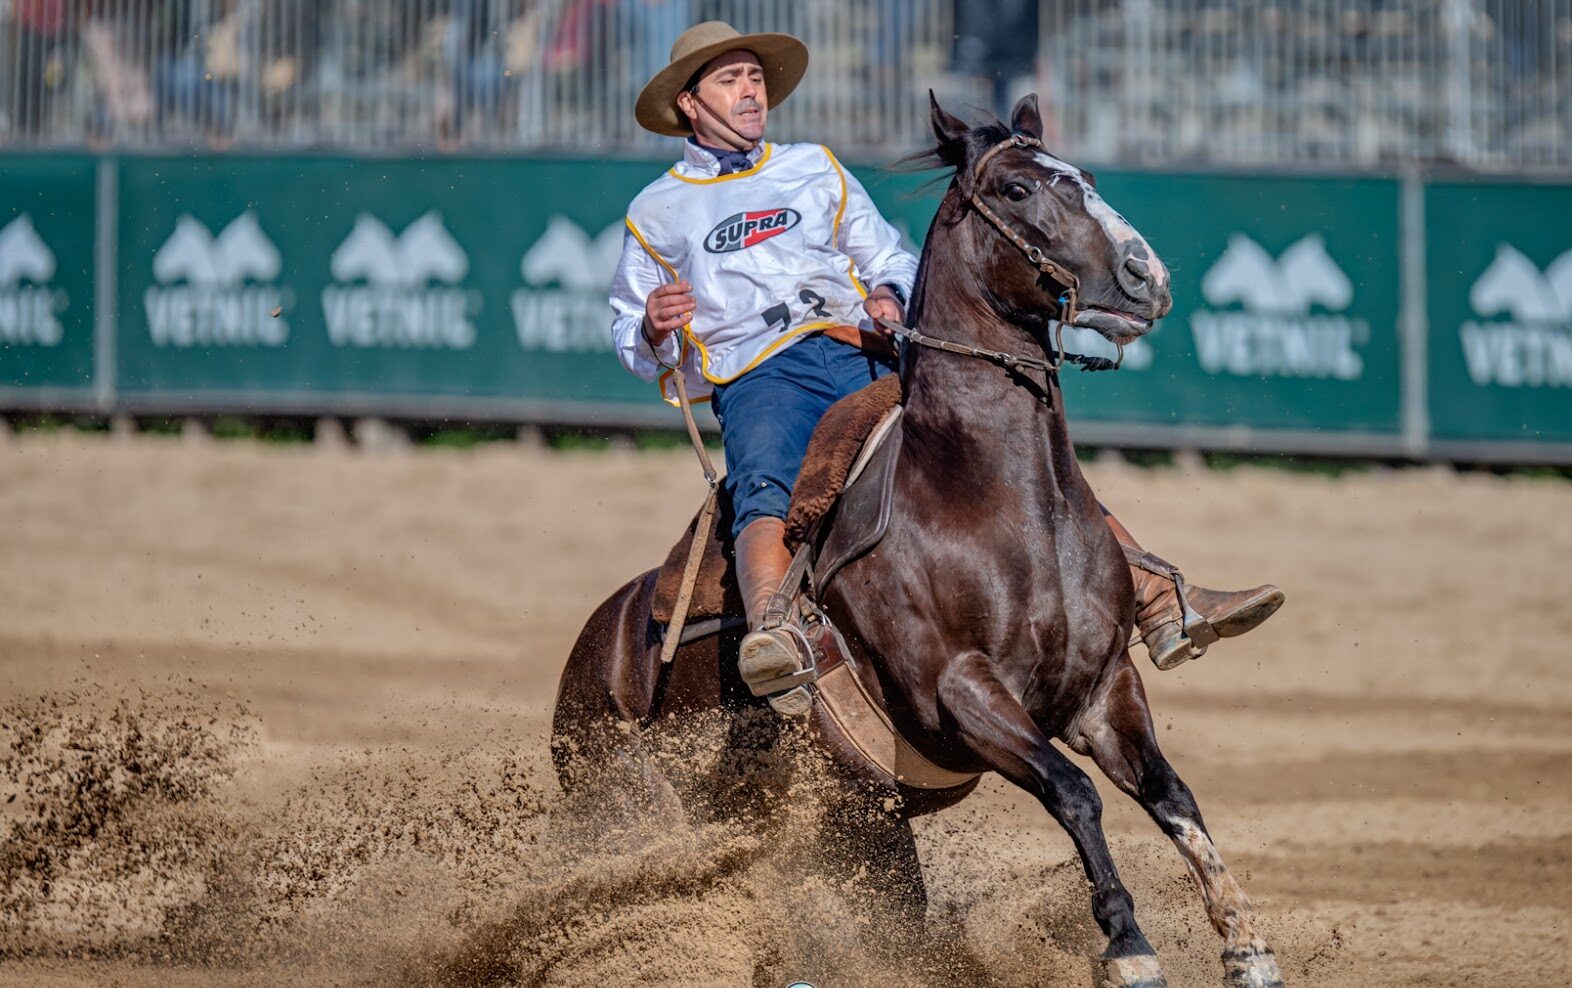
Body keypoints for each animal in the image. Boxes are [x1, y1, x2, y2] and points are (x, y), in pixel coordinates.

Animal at [553, 94, 1289, 988]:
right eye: (1016, 188)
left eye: (1084, 176)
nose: (1147, 276)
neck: (994, 506)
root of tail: (603, 641)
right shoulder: (960, 693)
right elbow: (1074, 793)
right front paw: (1128, 946)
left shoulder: (1103, 687)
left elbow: (1169, 794)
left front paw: (1245, 942)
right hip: (629, 814)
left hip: (860, 828)